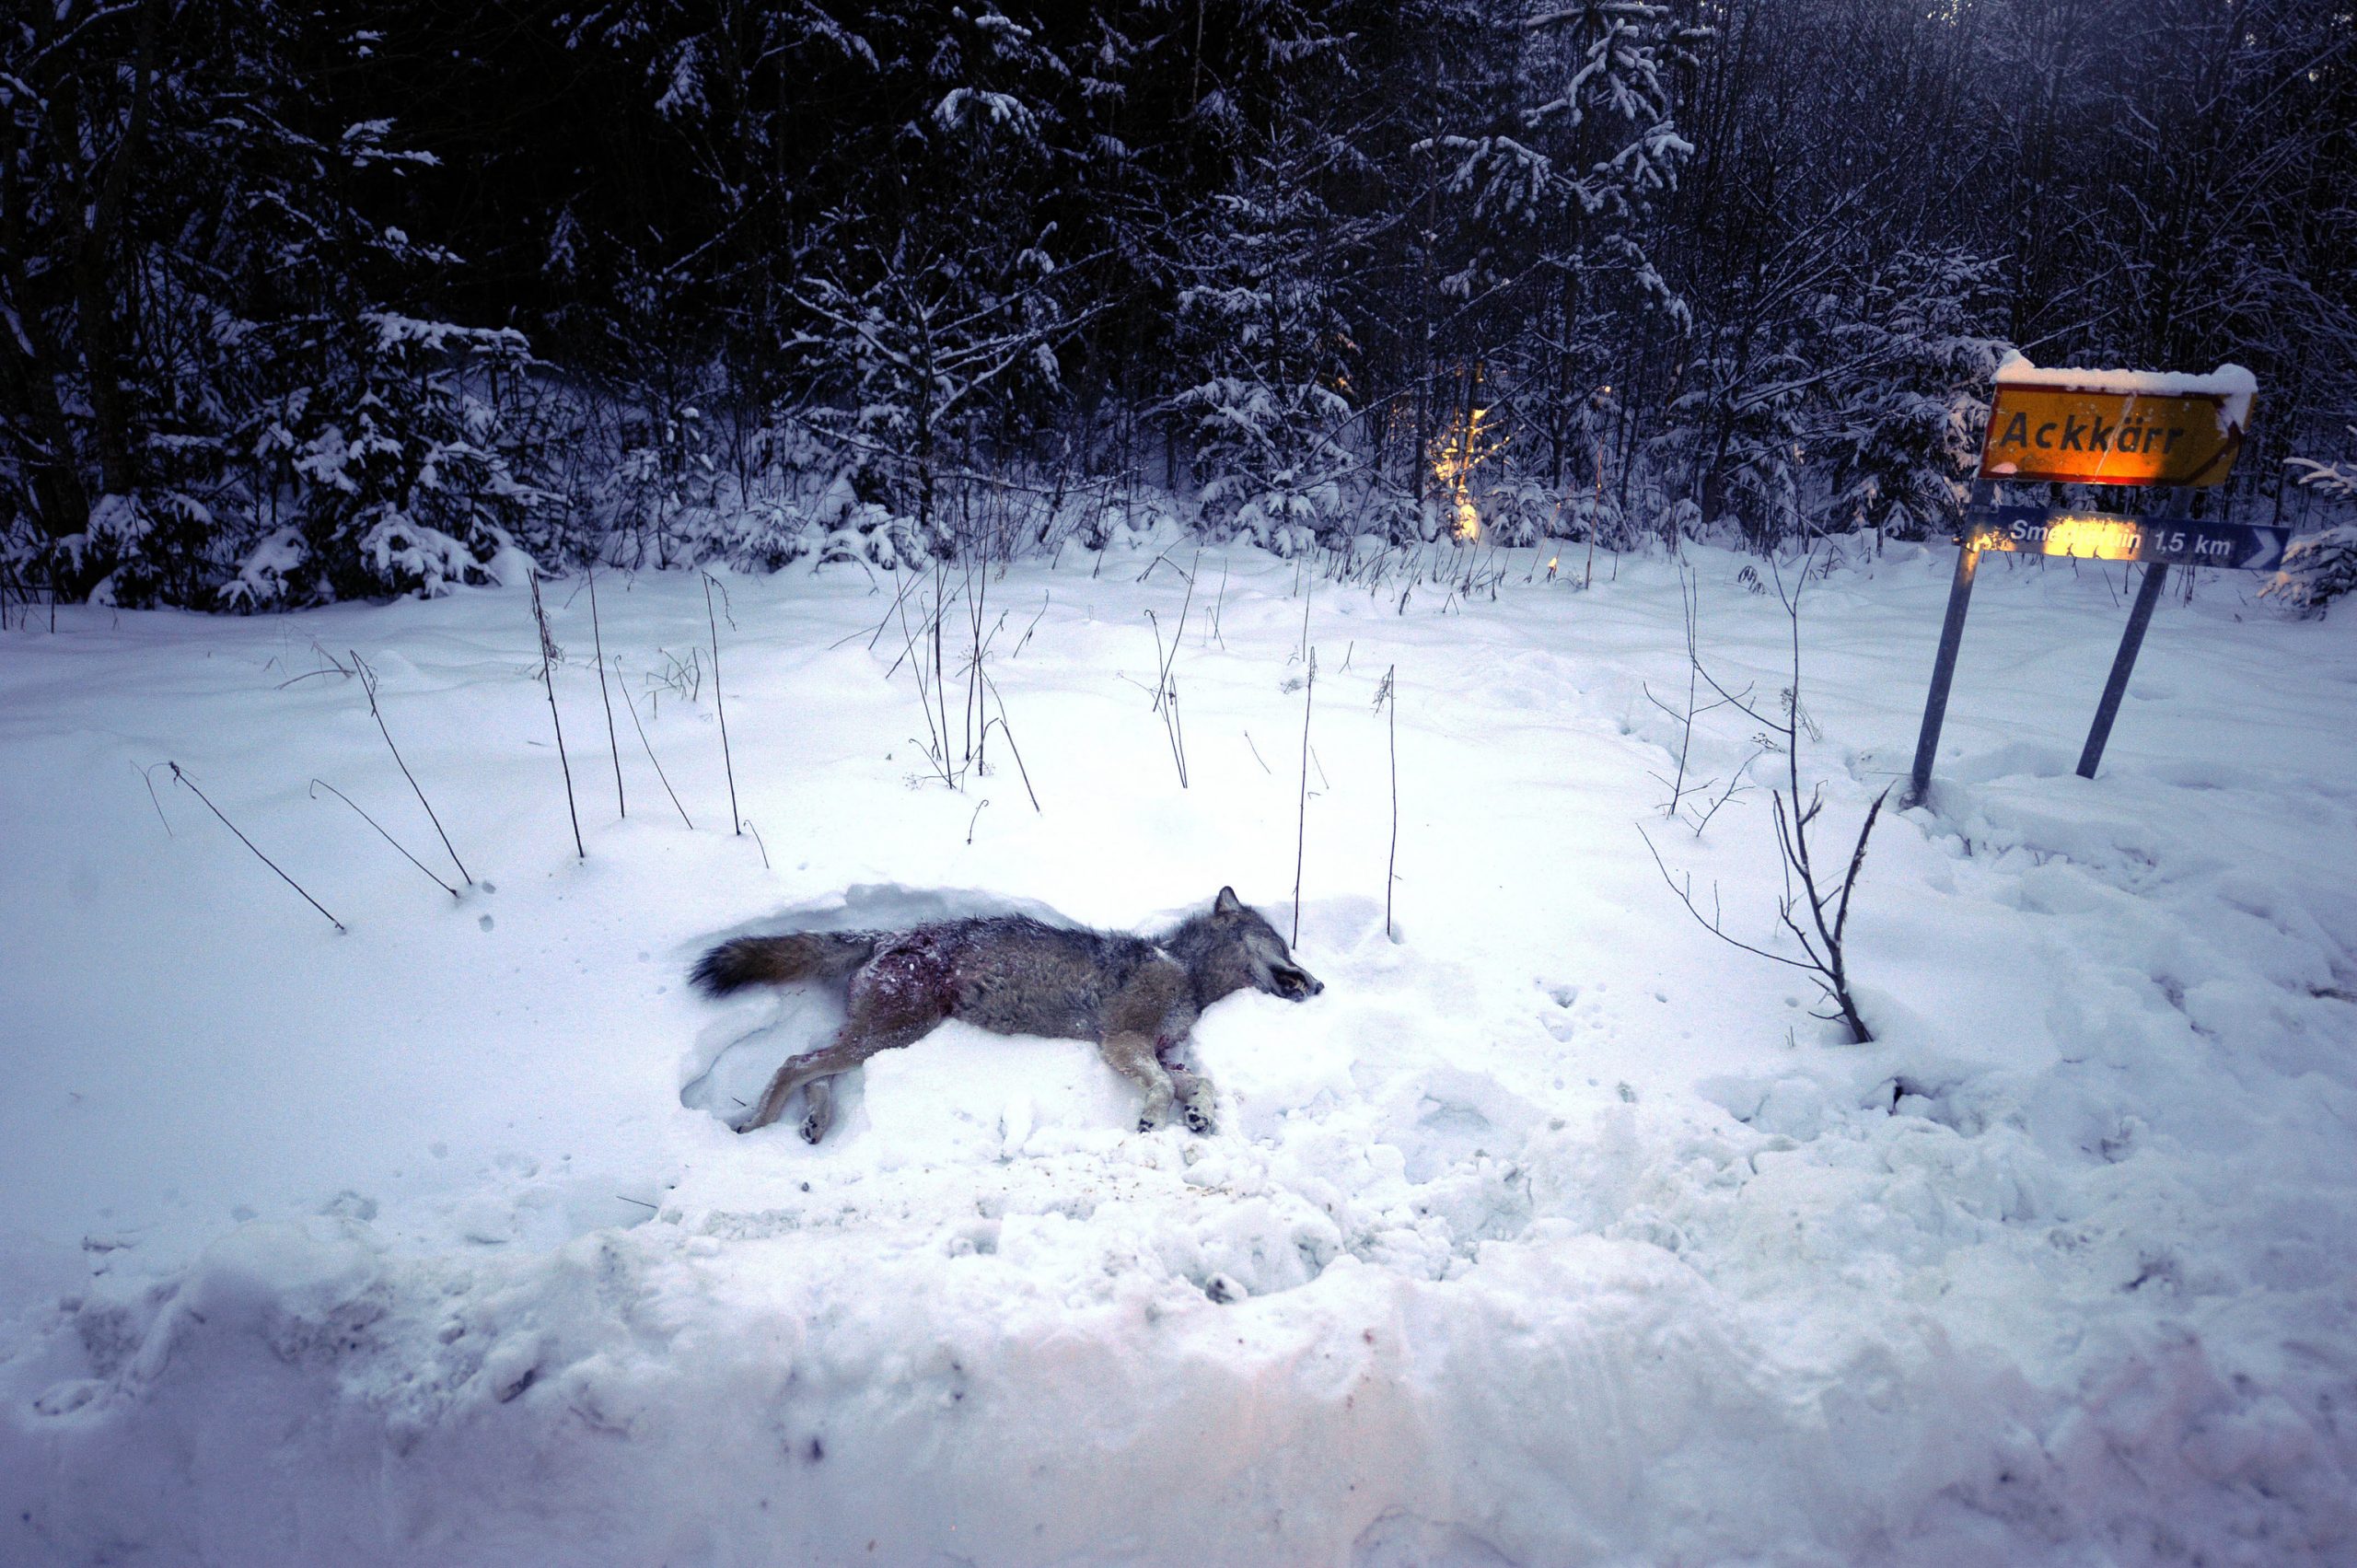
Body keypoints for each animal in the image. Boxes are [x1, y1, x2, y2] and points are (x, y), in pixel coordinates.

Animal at [692, 886, 1329, 1145]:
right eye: (1284, 946)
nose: (1320, 984)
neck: (1185, 970)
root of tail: (890, 934)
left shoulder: (1158, 1050)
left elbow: (1198, 1081)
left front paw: (1198, 1113)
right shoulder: (1122, 1041)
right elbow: (1160, 1087)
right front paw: (1154, 1117)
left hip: (878, 1036)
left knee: (812, 1065)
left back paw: (814, 1123)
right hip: (890, 1034)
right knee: (794, 1061)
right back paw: (755, 1125)